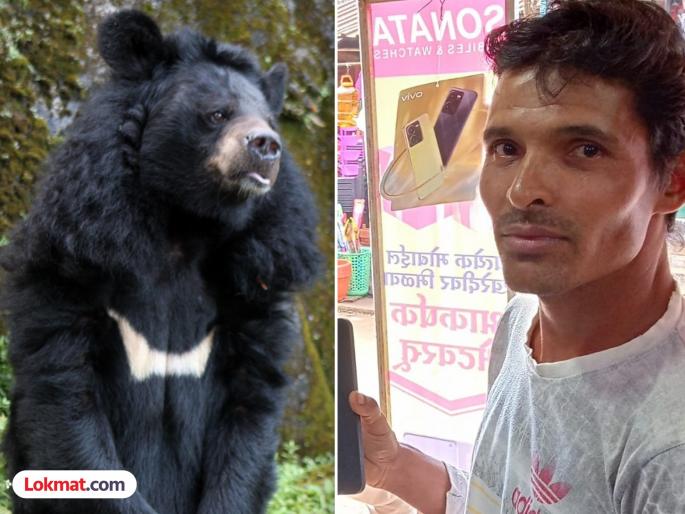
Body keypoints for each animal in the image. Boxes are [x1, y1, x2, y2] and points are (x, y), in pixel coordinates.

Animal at [0, 9, 321, 514]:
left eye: (271, 121)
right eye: (217, 114)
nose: (267, 145)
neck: (182, 225)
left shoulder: (259, 273)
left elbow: (252, 400)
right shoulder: (75, 257)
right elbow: (67, 391)